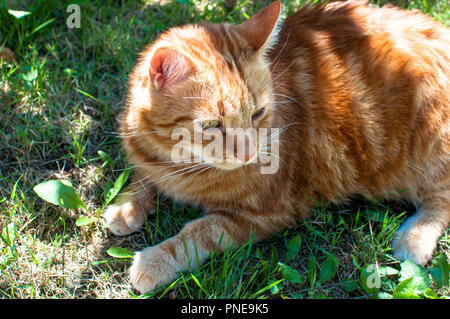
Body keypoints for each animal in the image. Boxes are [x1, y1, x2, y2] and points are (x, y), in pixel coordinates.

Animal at [103, 0, 450, 296]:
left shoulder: (263, 215)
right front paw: (126, 206)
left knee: (441, 199)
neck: (177, 162)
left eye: (258, 113)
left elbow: (198, 233)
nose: (248, 154)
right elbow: (143, 178)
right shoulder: (148, 162)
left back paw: (414, 239)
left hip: (429, 141)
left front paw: (154, 261)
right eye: (211, 124)